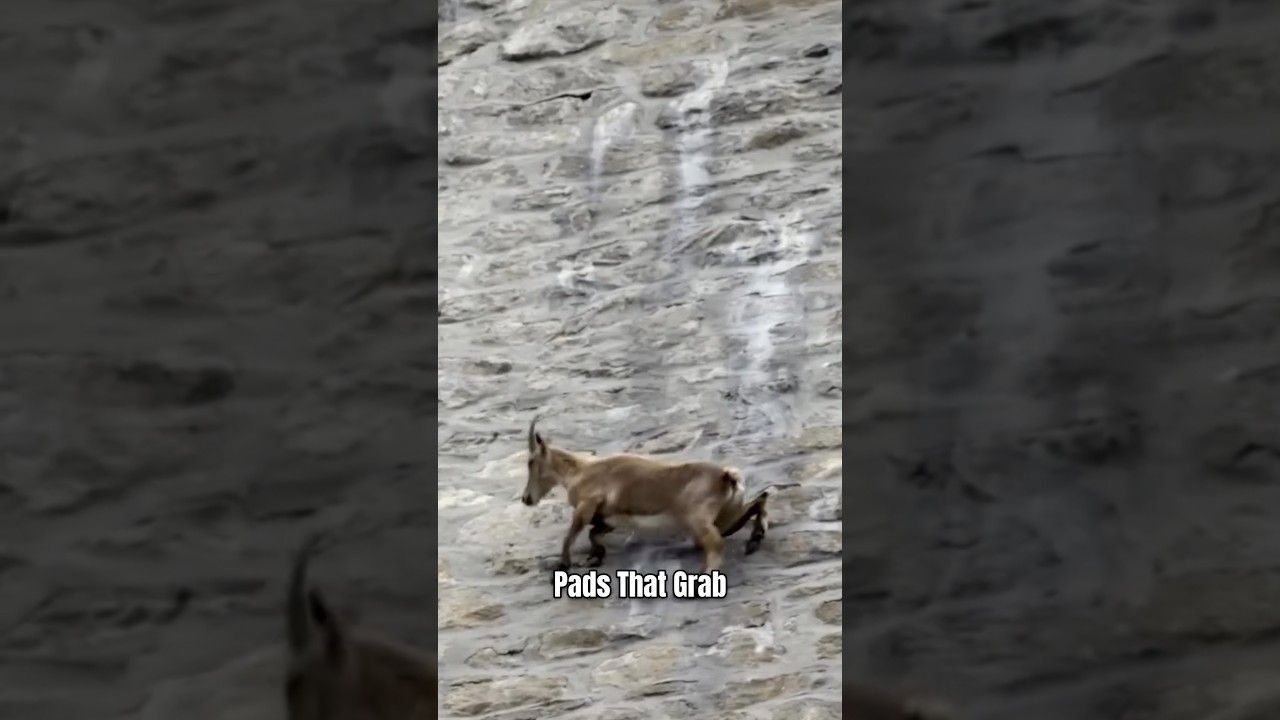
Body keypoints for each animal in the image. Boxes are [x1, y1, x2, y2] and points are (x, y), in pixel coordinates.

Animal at [520, 417, 770, 573]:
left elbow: (571, 534)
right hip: (726, 515)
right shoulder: (608, 518)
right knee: (758, 501)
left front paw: (563, 564)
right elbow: (594, 533)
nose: (526, 498)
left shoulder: (588, 504)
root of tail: (726, 476)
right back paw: (755, 539)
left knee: (716, 543)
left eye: (531, 461)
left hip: (697, 519)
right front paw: (595, 556)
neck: (580, 471)